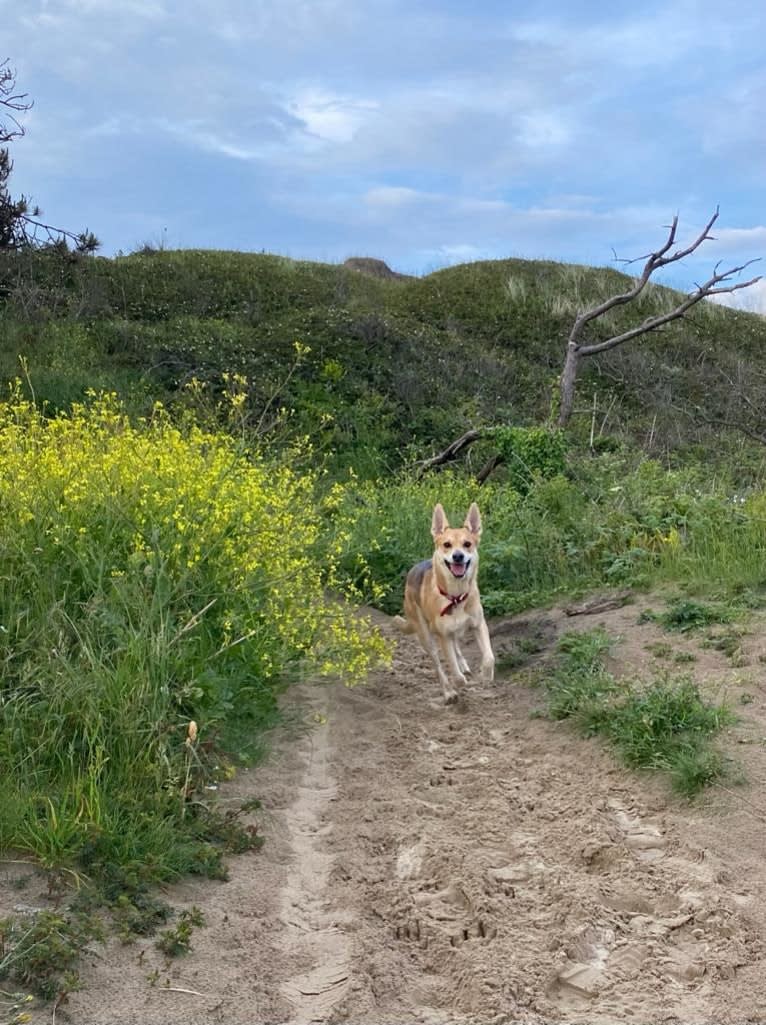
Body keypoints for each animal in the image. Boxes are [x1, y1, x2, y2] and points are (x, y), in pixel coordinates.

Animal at [395, 502, 498, 705]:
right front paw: (458, 683)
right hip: (426, 636)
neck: (455, 596)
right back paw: (448, 692)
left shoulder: (479, 624)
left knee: (457, 647)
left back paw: (463, 664)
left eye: (467, 544)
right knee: (438, 665)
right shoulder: (443, 636)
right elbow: (454, 673)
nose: (458, 556)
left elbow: (489, 657)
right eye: (447, 545)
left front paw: (485, 674)